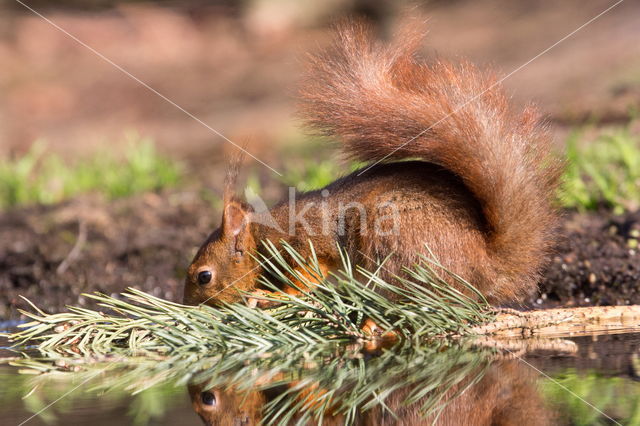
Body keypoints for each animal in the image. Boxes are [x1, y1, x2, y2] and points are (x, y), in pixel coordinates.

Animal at [184, 21, 560, 310]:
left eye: (204, 276)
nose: (190, 306)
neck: (262, 237)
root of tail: (485, 268)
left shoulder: (302, 246)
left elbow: (307, 278)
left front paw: (271, 296)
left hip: (394, 236)